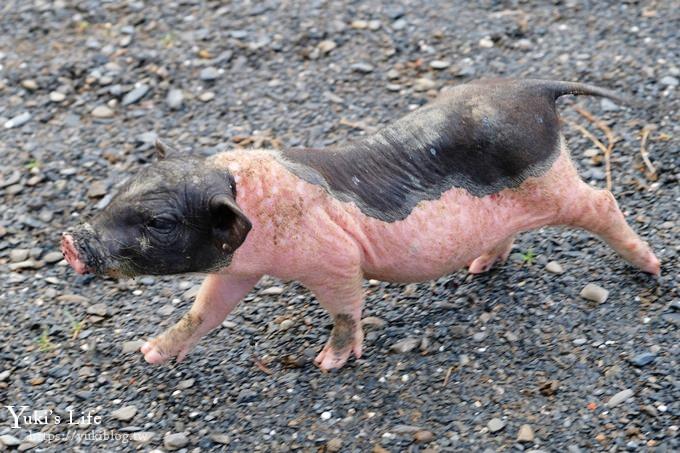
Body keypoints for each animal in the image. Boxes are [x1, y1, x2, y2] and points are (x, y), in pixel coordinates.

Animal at [62, 79, 660, 370]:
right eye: (119, 190)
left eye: (160, 222)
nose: (72, 241)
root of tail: (538, 90)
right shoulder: (239, 269)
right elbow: (203, 311)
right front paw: (148, 353)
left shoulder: (333, 258)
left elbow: (347, 309)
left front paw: (327, 364)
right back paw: (477, 268)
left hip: (553, 181)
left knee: (603, 200)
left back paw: (651, 269)